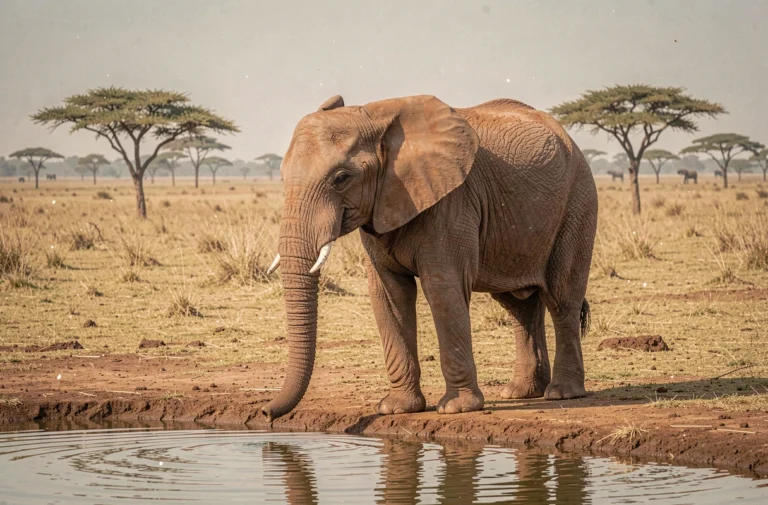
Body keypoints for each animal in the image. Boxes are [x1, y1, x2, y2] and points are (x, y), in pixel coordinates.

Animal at [262, 94, 598, 421]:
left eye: (341, 178)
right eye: (281, 177)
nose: (266, 413)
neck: (376, 115)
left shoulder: (452, 202)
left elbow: (442, 287)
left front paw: (456, 409)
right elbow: (389, 295)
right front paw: (395, 408)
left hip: (578, 201)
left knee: (562, 298)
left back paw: (562, 393)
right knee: (519, 307)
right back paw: (519, 393)